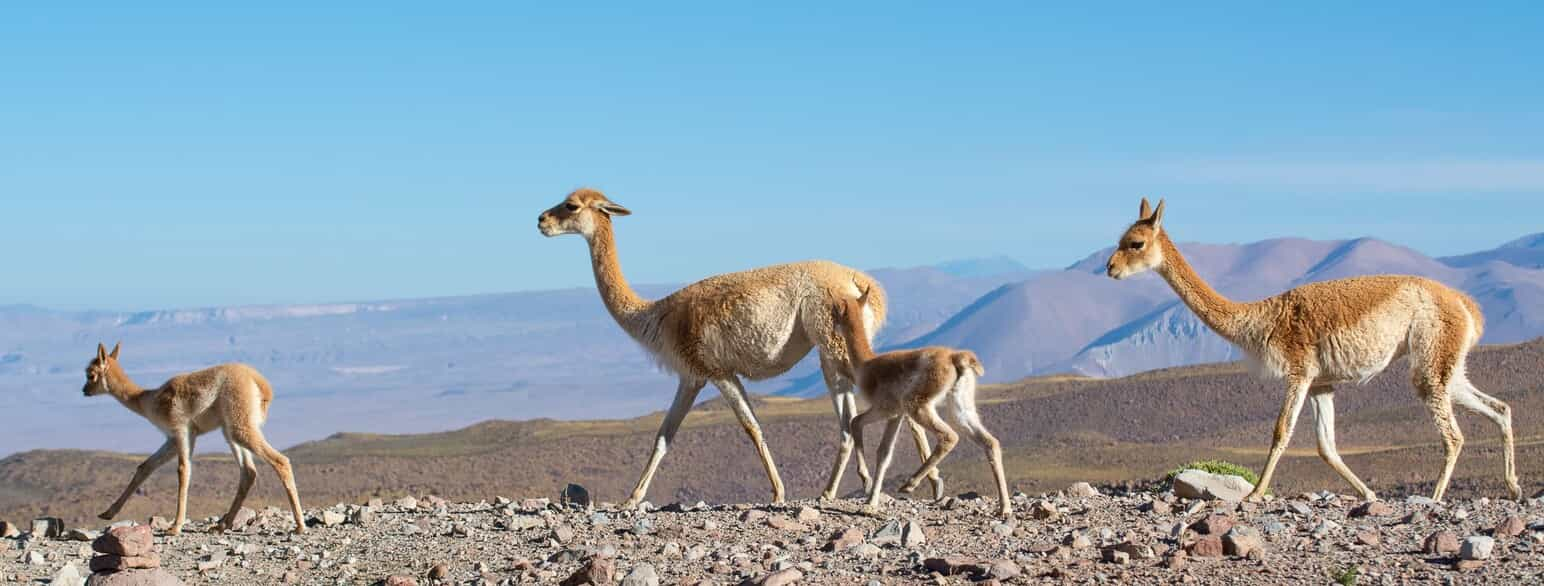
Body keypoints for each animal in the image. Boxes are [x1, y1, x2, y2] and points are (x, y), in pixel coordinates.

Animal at [84, 343, 304, 536]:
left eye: (91, 374)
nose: (84, 390)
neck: (149, 400)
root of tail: (261, 384)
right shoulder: (172, 439)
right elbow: (145, 467)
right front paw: (107, 513)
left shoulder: (181, 430)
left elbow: (183, 471)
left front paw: (175, 527)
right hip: (231, 430)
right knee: (248, 472)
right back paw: (221, 525)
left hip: (239, 425)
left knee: (280, 461)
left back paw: (300, 525)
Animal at [833, 288, 1012, 518]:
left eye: (834, 313)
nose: (833, 329)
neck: (866, 364)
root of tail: (956, 357)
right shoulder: (896, 415)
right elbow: (884, 453)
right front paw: (871, 501)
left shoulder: (884, 409)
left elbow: (855, 422)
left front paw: (865, 481)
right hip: (961, 408)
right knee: (991, 443)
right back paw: (1004, 508)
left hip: (918, 405)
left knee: (949, 436)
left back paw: (909, 484)